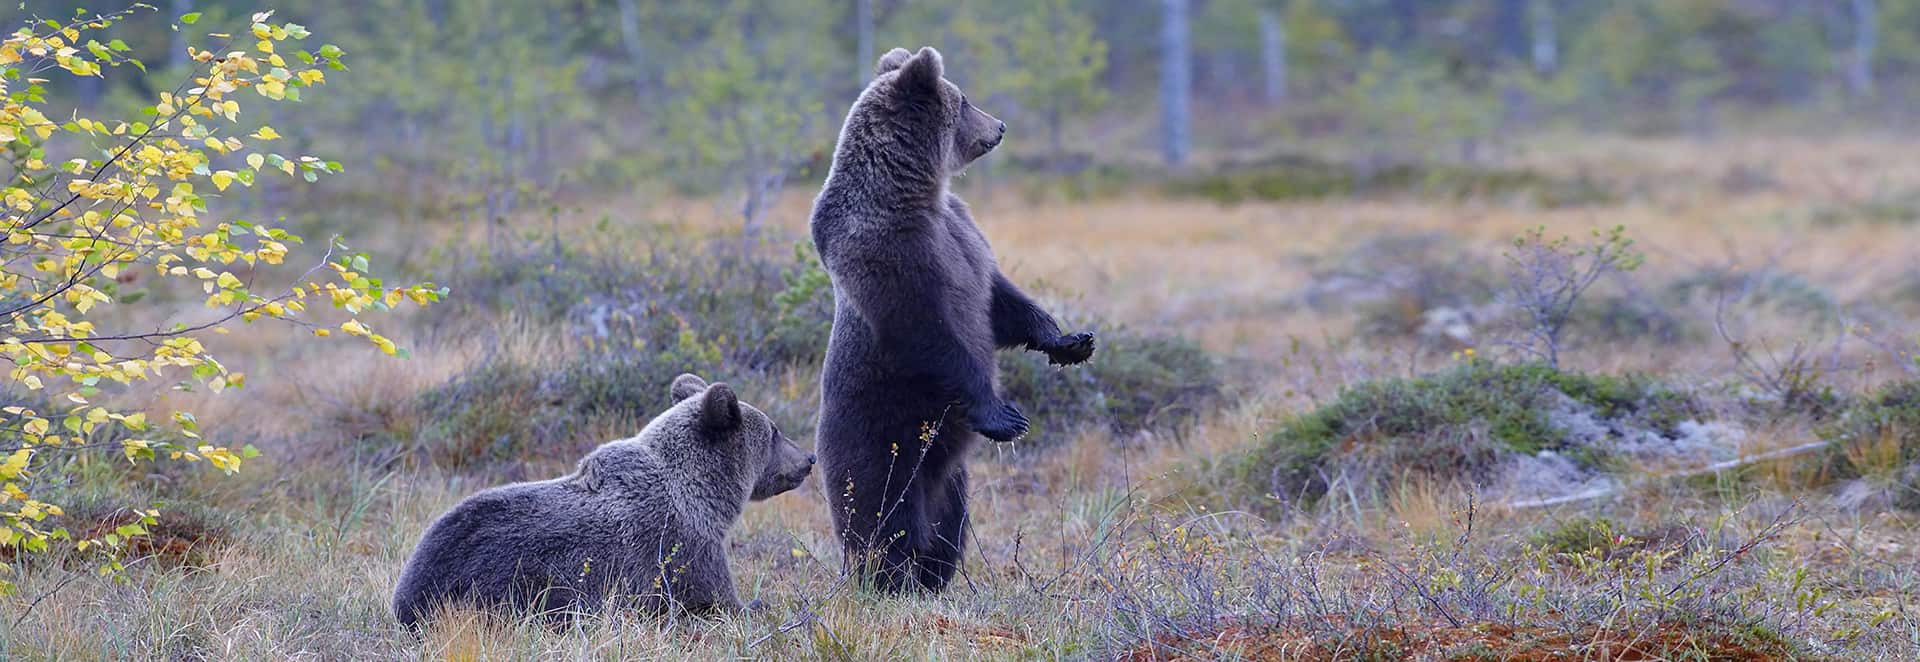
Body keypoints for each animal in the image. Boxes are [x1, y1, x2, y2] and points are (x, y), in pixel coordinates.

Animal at [806, 46, 1098, 594]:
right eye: (964, 101)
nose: (1000, 125)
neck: (917, 194)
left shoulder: (963, 237)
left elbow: (1000, 300)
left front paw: (1070, 340)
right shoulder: (890, 255)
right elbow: (929, 334)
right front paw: (1005, 415)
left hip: (952, 478)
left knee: (947, 529)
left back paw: (933, 579)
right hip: (880, 441)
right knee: (883, 521)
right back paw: (887, 581)